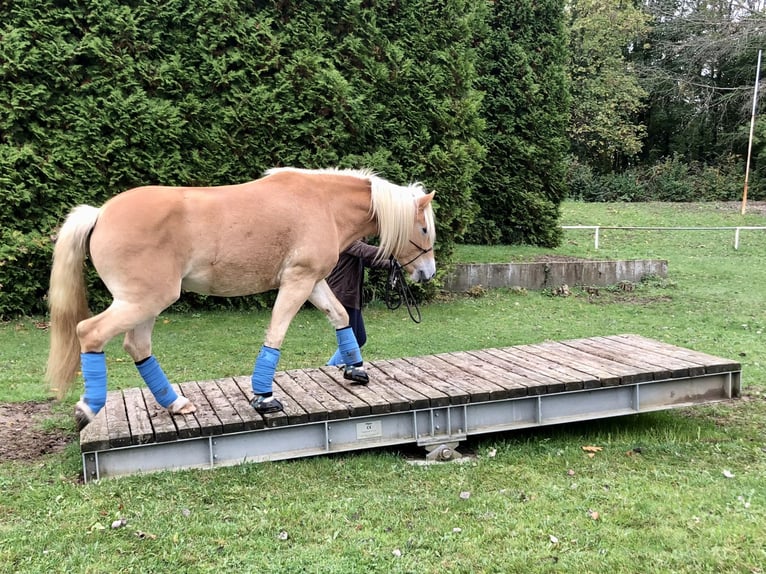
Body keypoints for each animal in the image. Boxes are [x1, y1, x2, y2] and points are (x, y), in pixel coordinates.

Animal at [45, 167, 436, 430]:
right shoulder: (297, 282)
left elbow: (340, 316)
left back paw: (176, 404)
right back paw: (88, 408)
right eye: (424, 228)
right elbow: (276, 334)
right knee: (90, 333)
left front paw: (355, 370)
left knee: (137, 346)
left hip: (145, 304)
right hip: (144, 301)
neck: (322, 202)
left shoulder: (313, 282)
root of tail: (100, 213)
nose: (427, 273)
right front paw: (264, 398)